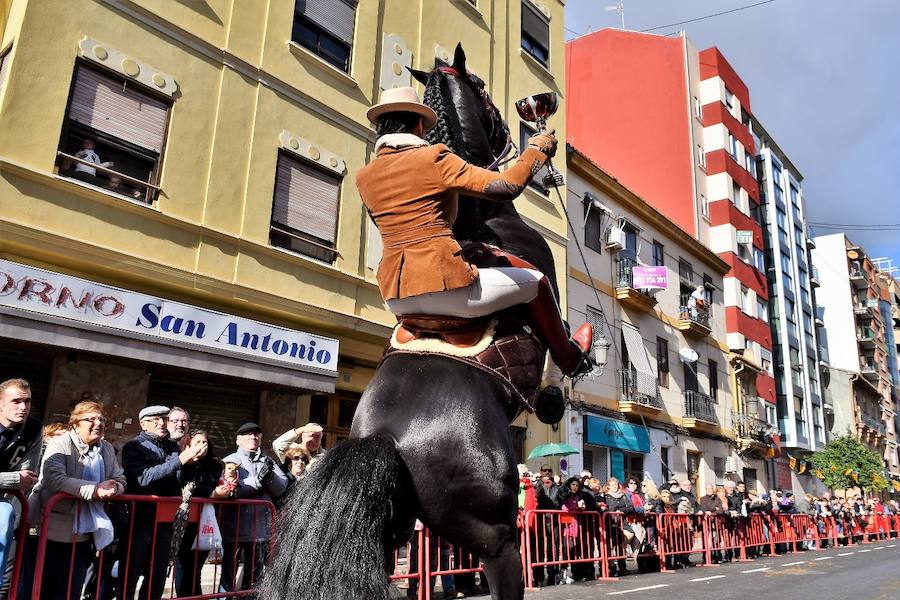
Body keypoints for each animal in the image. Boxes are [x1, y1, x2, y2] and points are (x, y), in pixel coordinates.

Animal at [258, 44, 556, 600]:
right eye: (482, 87)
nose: (509, 126)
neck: (480, 216)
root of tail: (385, 438)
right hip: (495, 535)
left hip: (388, 533)